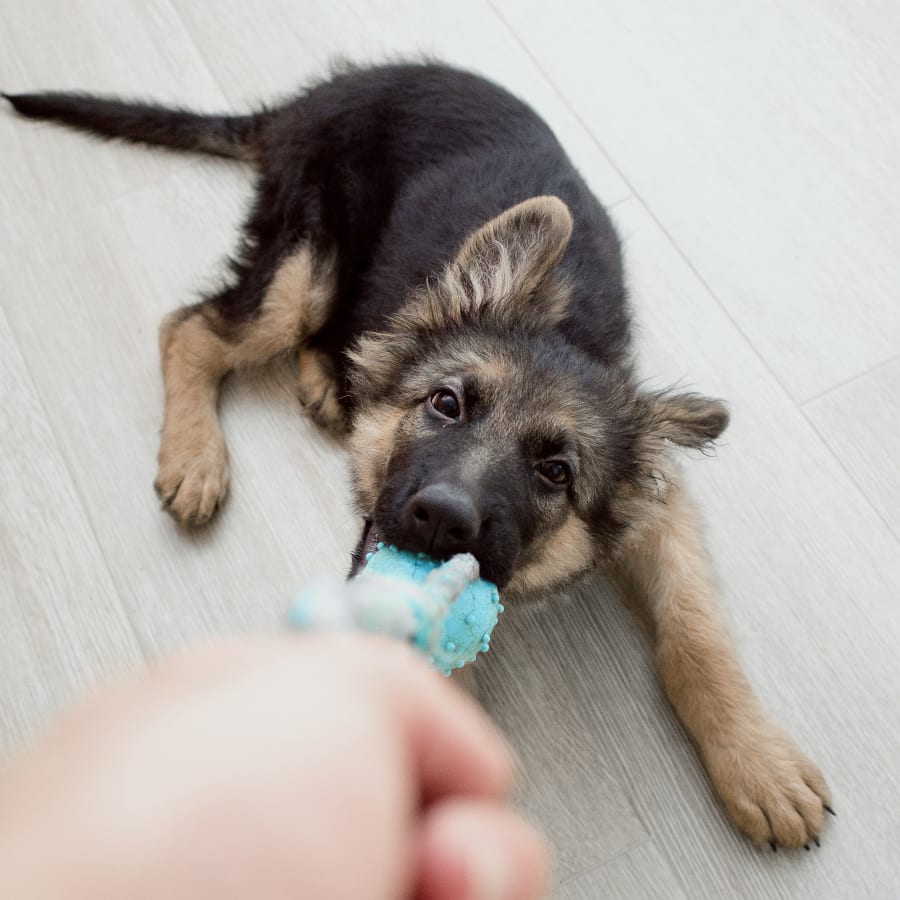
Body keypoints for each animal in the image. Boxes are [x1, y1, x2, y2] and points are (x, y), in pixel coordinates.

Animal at [7, 59, 832, 848]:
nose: (440, 519)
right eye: (446, 404)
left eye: (556, 472)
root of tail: (319, 96)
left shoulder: (659, 506)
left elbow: (695, 633)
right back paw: (196, 456)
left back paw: (326, 382)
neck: (566, 332)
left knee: (334, 333)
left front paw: (758, 764)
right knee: (195, 326)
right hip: (308, 264)